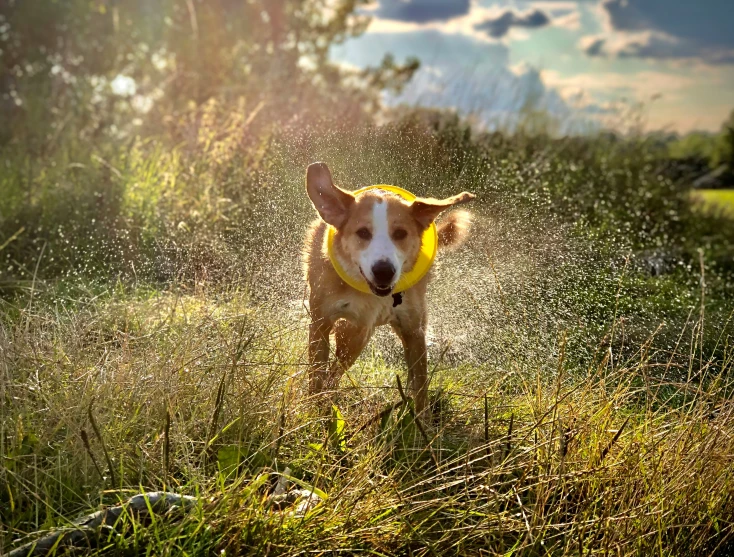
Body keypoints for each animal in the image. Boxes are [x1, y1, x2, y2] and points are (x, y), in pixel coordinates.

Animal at [304, 161, 478, 412]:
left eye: (400, 233)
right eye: (363, 232)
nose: (384, 271)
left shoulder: (413, 330)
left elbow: (420, 386)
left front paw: (419, 418)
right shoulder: (321, 323)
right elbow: (317, 375)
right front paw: (313, 409)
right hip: (355, 333)